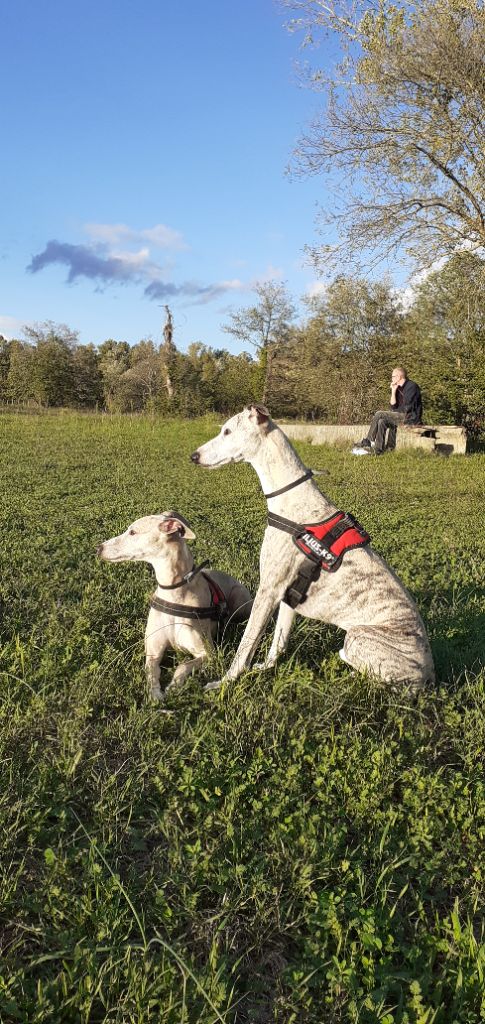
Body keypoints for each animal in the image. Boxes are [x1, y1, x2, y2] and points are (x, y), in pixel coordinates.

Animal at [97, 509, 251, 700]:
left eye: (132, 532)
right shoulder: (153, 652)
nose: (98, 548)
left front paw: (174, 686)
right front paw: (155, 694)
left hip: (239, 598)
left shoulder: (207, 653)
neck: (174, 592)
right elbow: (151, 672)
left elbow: (183, 665)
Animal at [192, 403, 435, 692]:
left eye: (227, 431)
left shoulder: (268, 590)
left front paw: (225, 682)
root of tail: (429, 677)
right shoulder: (288, 596)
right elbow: (278, 644)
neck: (292, 500)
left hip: (357, 638)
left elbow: (246, 645)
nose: (193, 456)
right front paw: (265, 668)